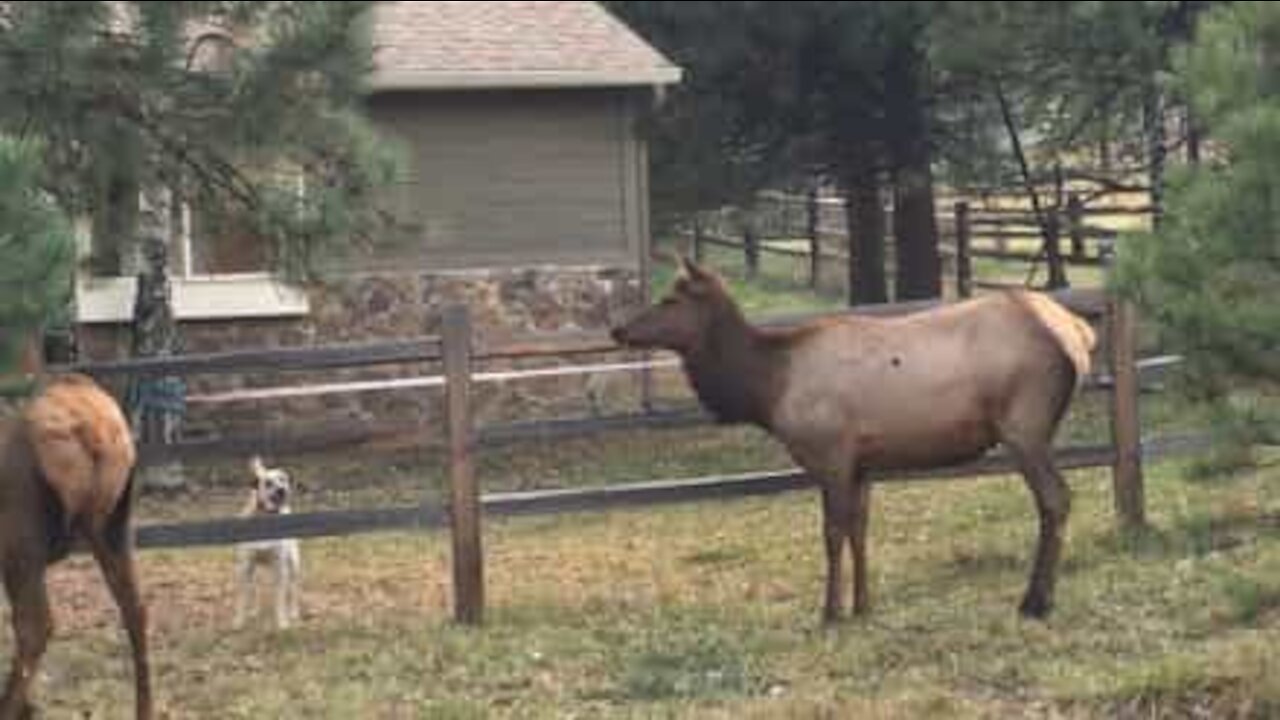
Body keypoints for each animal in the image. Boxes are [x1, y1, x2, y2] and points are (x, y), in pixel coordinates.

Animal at [234, 456, 300, 625]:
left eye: (283, 479)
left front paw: (282, 622)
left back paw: (294, 612)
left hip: (294, 564)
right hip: (254, 569)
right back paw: (254, 611)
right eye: (268, 482)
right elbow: (242, 598)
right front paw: (238, 621)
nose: (282, 490)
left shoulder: (280, 568)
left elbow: (280, 599)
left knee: (293, 588)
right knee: (254, 589)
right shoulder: (245, 566)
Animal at [614, 257, 1095, 622]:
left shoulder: (831, 453)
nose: (619, 330)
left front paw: (830, 611)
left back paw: (1036, 601)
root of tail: (1078, 334)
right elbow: (860, 530)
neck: (768, 389)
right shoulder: (862, 462)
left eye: (670, 299)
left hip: (1024, 426)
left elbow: (831, 533)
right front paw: (862, 605)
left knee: (1055, 499)